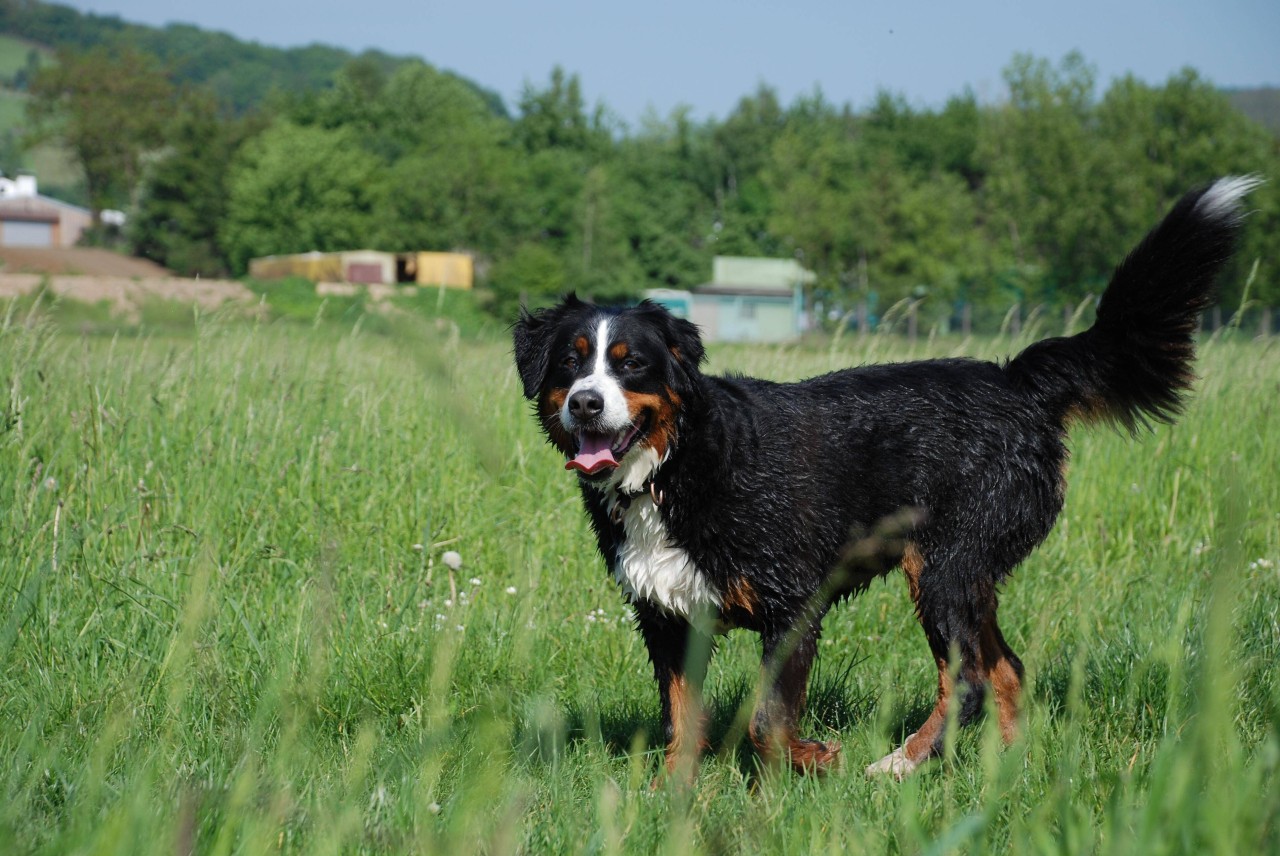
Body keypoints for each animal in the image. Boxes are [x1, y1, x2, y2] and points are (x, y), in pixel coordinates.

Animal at [512, 176, 1259, 777]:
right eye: (572, 363)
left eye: (630, 363)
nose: (587, 403)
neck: (674, 469)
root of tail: (1014, 379)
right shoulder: (667, 618)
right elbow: (681, 722)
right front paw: (669, 801)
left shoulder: (792, 604)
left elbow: (767, 721)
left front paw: (814, 762)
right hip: (968, 576)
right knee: (1007, 671)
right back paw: (1007, 776)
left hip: (944, 566)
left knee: (968, 682)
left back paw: (899, 765)